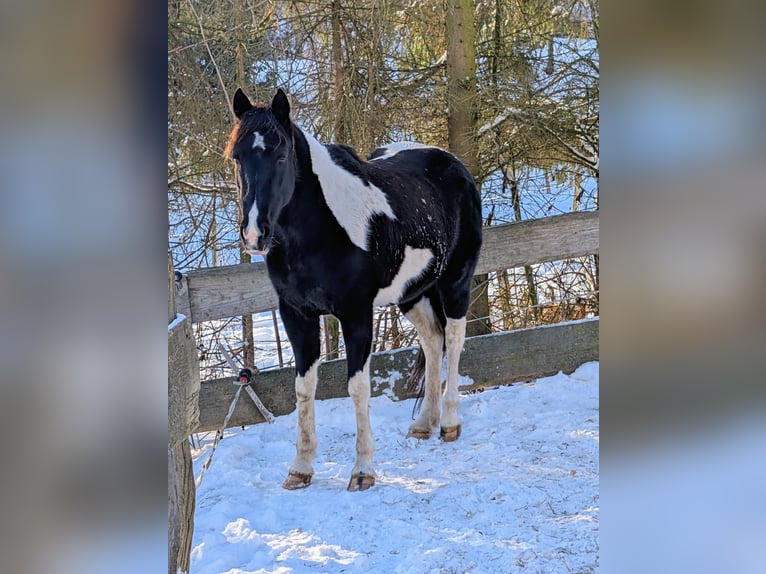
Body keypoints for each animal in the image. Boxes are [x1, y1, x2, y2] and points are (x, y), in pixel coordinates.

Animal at [226, 88, 482, 491]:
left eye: (280, 155)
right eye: (237, 157)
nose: (254, 235)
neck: (319, 232)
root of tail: (453, 164)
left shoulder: (356, 314)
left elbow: (358, 387)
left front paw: (362, 471)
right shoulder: (296, 315)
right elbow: (303, 389)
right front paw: (300, 469)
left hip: (455, 281)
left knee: (454, 341)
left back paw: (450, 423)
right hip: (412, 294)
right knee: (432, 341)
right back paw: (423, 424)